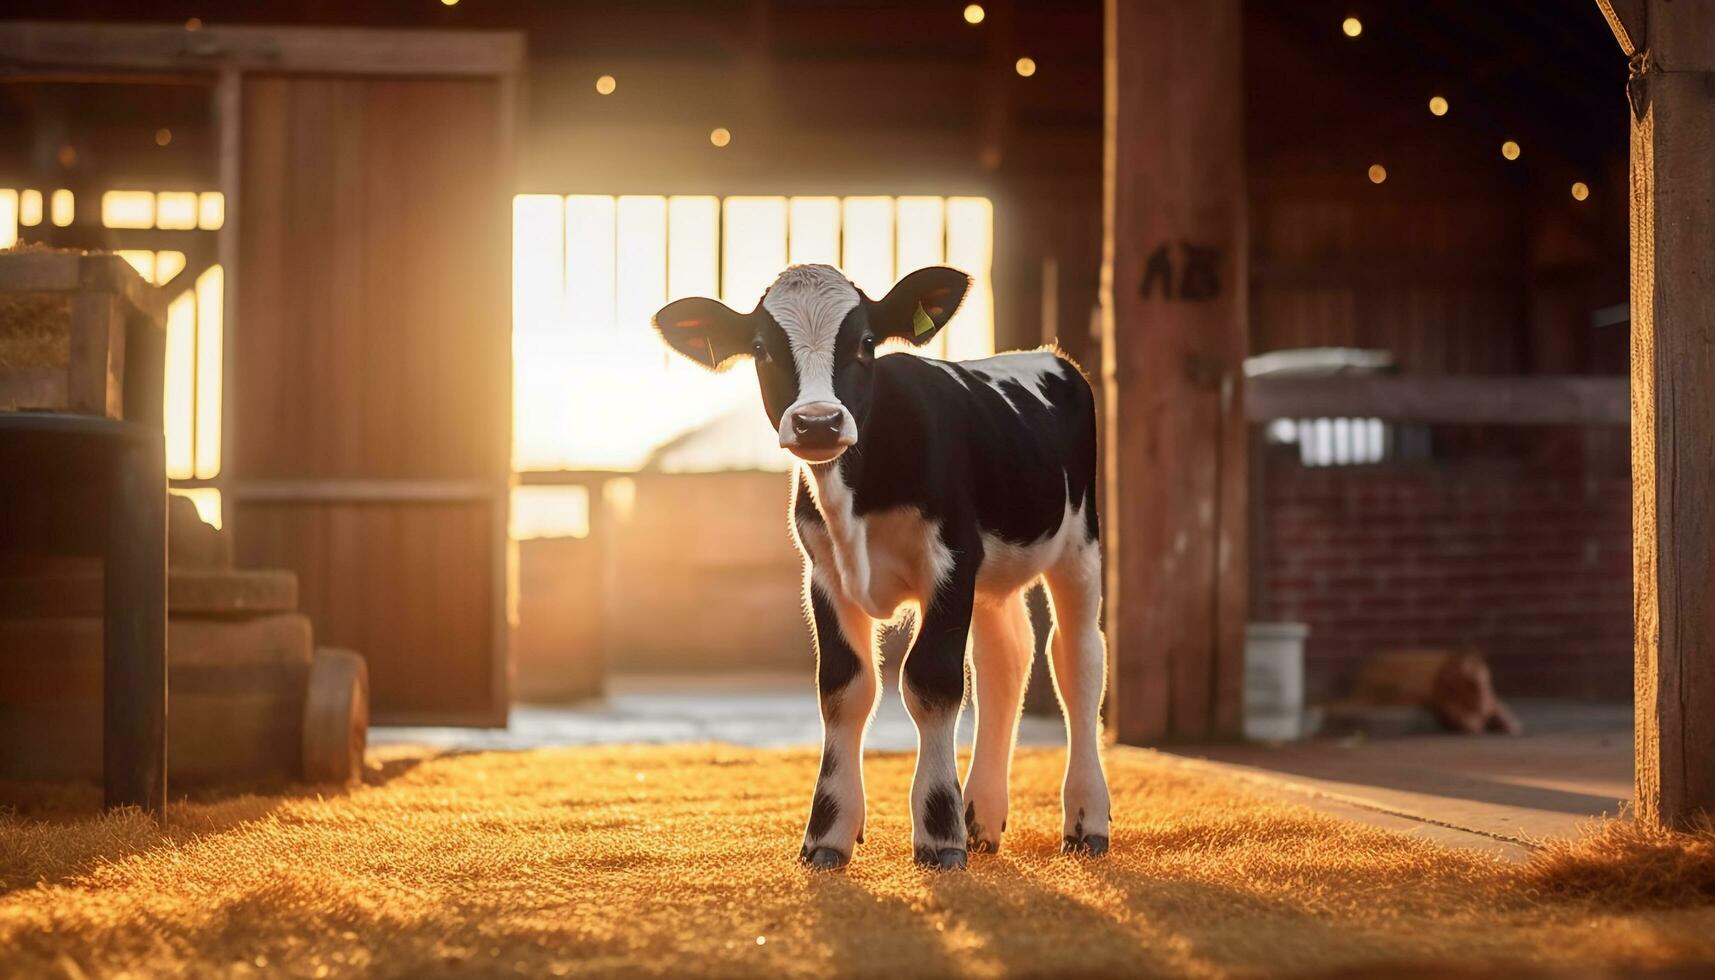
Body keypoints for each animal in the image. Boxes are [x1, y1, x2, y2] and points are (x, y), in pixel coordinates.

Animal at [655, 264, 1111, 871]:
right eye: (760, 348)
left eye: (866, 342)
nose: (818, 423)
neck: (857, 496)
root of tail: (1047, 356)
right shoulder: (825, 574)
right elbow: (844, 690)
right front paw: (829, 833)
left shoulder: (951, 560)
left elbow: (931, 681)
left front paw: (939, 834)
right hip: (993, 578)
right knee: (1005, 660)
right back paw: (982, 819)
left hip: (1079, 546)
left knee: (1077, 659)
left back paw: (1085, 822)